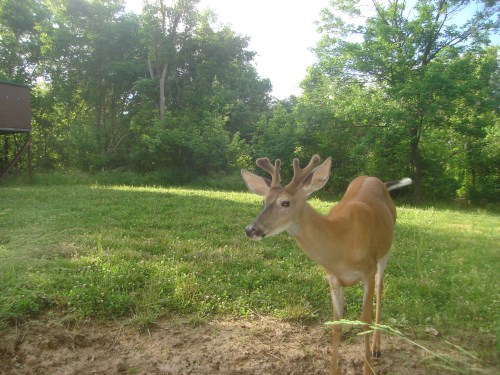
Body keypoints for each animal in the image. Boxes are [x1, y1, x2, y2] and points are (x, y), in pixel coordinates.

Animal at [240, 155, 412, 375]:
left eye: (285, 202)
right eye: (264, 201)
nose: (251, 229)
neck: (341, 243)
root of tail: (377, 179)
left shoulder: (368, 270)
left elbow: (364, 320)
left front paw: (368, 369)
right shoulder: (333, 278)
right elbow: (336, 324)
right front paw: (333, 369)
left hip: (385, 252)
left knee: (381, 289)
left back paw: (376, 348)